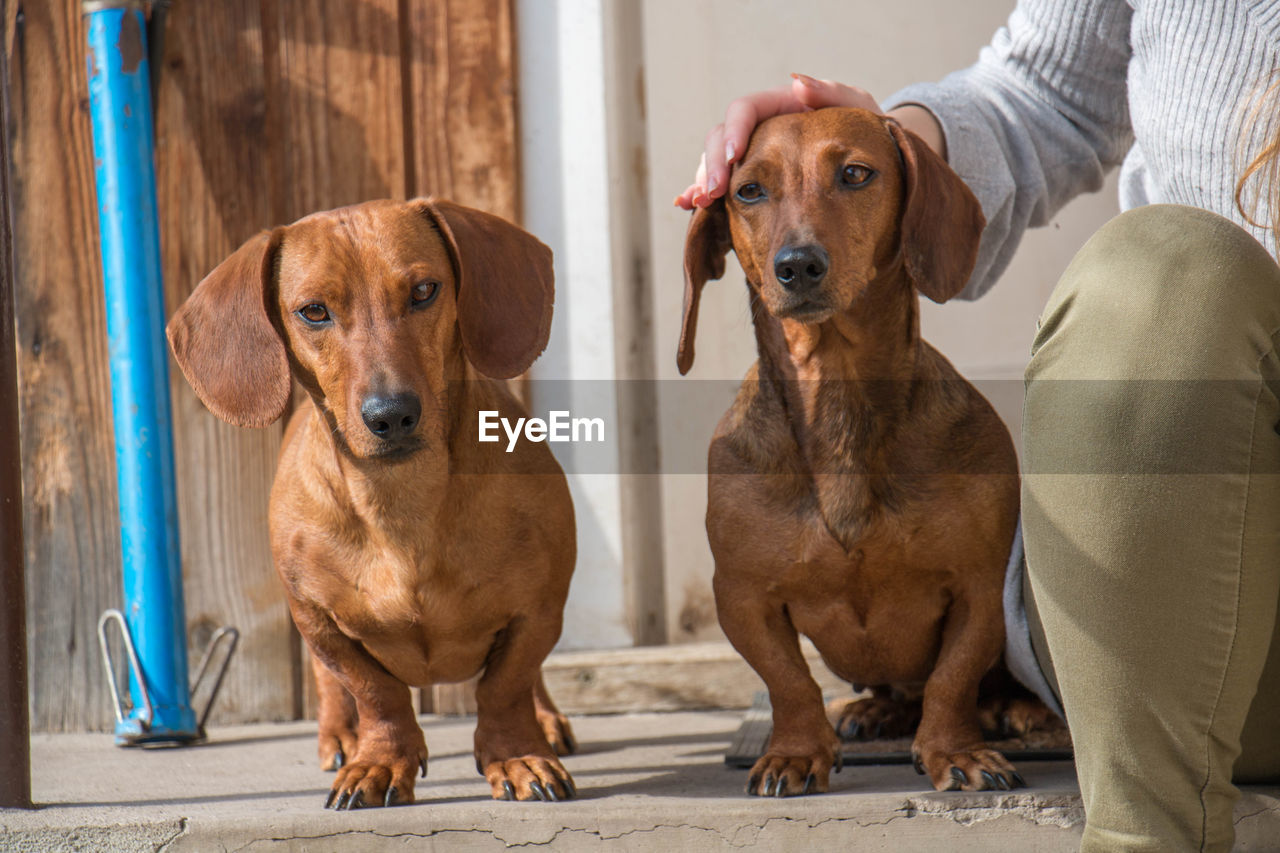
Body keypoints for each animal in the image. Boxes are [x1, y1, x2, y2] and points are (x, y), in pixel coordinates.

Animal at [168, 197, 576, 804]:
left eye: (425, 290)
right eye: (314, 311)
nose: (392, 415)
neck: (401, 501)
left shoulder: (539, 608)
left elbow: (506, 685)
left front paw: (517, 754)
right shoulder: (320, 623)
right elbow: (375, 693)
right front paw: (379, 761)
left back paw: (545, 720)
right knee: (331, 684)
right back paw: (340, 734)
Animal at [680, 109, 1029, 794]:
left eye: (856, 174)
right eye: (748, 191)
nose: (797, 265)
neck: (837, 391)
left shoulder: (980, 587)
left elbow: (954, 678)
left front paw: (956, 751)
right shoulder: (742, 598)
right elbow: (789, 682)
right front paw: (794, 752)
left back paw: (1018, 709)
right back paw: (874, 711)